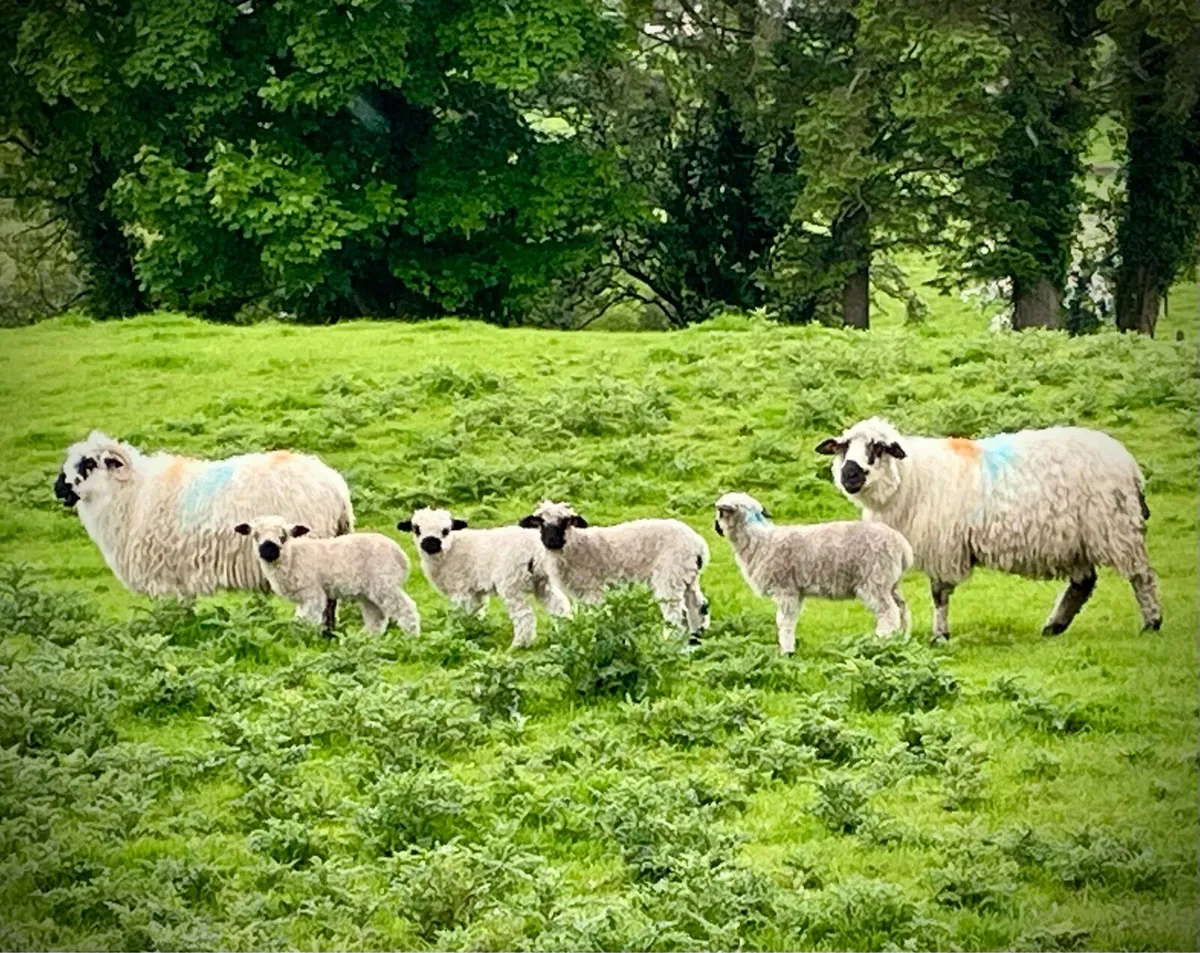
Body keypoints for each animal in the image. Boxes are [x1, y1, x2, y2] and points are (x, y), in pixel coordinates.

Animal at [235, 515, 419, 635]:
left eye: (283, 536)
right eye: (255, 535)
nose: (268, 550)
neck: (292, 557)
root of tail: (402, 557)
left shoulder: (312, 593)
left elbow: (308, 620)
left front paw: (306, 638)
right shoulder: (303, 598)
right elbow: (300, 619)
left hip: (385, 583)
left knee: (406, 608)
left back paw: (411, 637)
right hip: (369, 591)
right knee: (377, 616)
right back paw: (366, 639)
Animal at [397, 508, 571, 647]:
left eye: (446, 530)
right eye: (416, 529)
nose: (430, 543)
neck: (451, 550)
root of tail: (537, 550)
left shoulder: (461, 588)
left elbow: (461, 613)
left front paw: (458, 632)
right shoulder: (475, 591)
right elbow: (475, 612)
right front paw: (474, 629)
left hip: (512, 582)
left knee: (524, 615)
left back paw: (519, 645)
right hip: (542, 582)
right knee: (560, 605)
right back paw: (564, 630)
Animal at [518, 500, 710, 641]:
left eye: (565, 522)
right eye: (540, 522)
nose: (551, 541)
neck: (575, 546)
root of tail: (698, 544)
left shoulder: (593, 589)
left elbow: (596, 615)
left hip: (670, 575)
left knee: (675, 613)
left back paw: (671, 641)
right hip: (687, 576)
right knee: (698, 605)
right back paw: (695, 637)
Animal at [714, 492, 913, 654]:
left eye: (720, 512)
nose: (715, 528)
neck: (760, 541)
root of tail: (903, 546)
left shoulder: (785, 589)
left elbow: (784, 621)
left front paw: (786, 651)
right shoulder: (796, 592)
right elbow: (789, 620)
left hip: (874, 580)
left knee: (889, 612)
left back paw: (881, 641)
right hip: (890, 583)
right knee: (902, 609)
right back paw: (902, 639)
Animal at [816, 416, 1162, 643]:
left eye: (877, 447)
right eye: (843, 447)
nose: (849, 474)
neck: (912, 476)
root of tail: (1130, 465)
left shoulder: (944, 544)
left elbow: (939, 594)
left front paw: (940, 636)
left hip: (1114, 526)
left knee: (1140, 575)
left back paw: (1152, 623)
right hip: (1076, 539)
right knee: (1083, 583)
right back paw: (1054, 627)